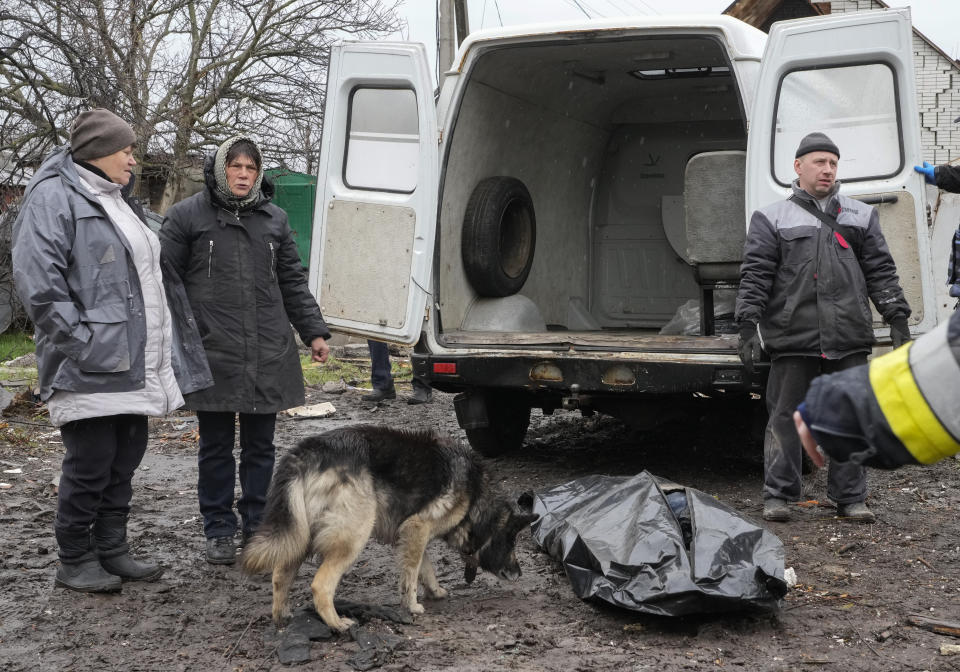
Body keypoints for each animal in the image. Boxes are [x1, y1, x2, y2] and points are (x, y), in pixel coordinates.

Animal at [240, 426, 536, 632]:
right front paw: (412, 606)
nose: (519, 574)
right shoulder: (417, 528)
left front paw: (435, 591)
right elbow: (412, 573)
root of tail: (305, 452)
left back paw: (282, 616)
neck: (476, 498)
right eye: (511, 542)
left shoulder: (411, 533)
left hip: (300, 536)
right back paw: (336, 623)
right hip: (354, 535)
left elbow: (423, 568)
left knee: (280, 575)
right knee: (320, 585)